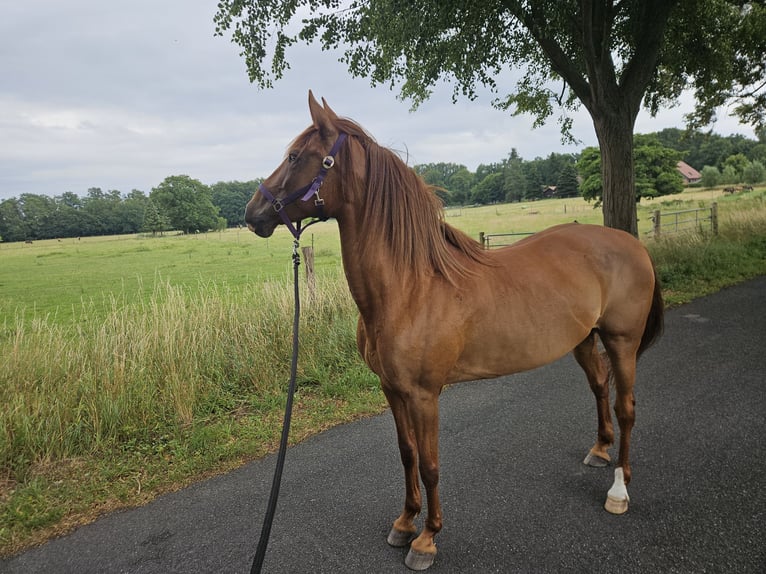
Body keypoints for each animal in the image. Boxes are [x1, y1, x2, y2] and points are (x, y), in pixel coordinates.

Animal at [245, 91, 664, 571]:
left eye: (296, 156)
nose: (252, 213)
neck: (410, 287)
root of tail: (632, 244)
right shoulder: (392, 389)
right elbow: (407, 454)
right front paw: (405, 523)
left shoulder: (425, 395)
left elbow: (430, 465)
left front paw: (427, 539)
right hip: (582, 340)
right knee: (599, 386)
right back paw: (599, 451)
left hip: (622, 341)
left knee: (625, 406)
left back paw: (619, 489)